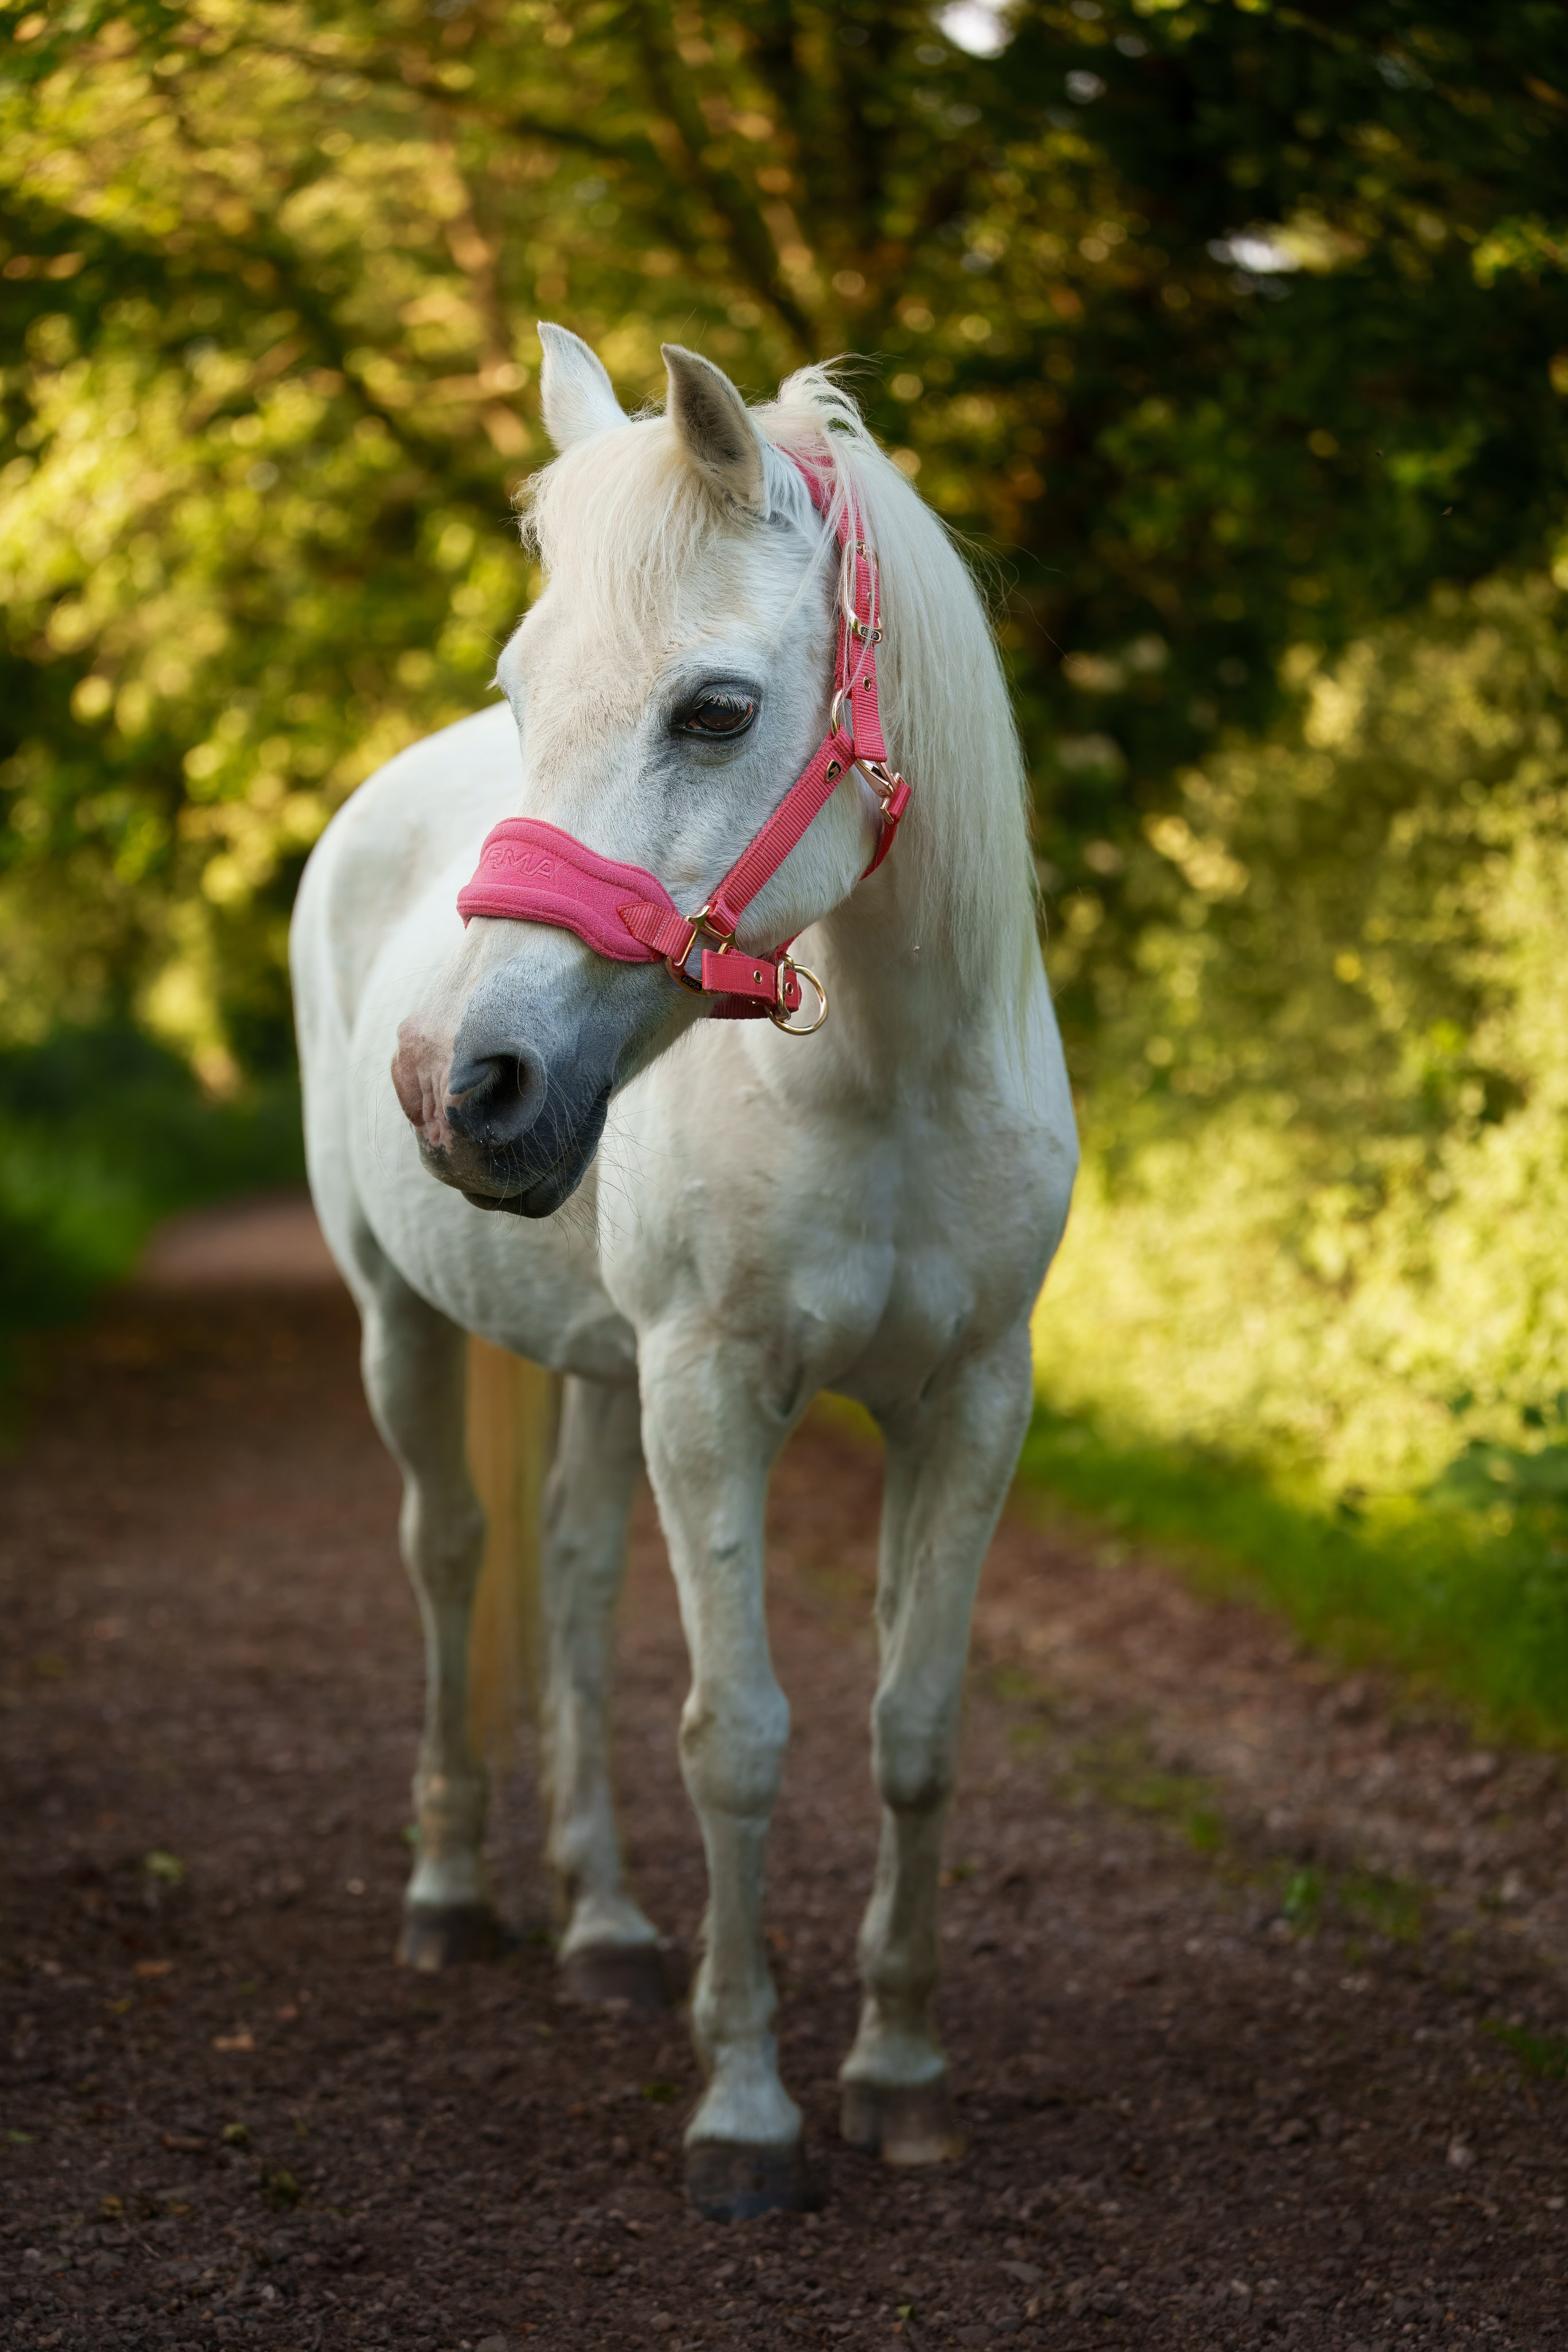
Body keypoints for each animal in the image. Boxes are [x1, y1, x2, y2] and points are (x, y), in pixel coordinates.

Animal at [290, 325, 1078, 2220]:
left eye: (713, 709)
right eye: (523, 692)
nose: (459, 1086)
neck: (885, 1083)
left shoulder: (971, 1401)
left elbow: (914, 1730)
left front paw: (899, 2071)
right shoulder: (710, 1391)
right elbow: (739, 1737)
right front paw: (745, 2111)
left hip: (592, 1366)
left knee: (572, 1585)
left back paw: (607, 1929)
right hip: (401, 1325)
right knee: (452, 1557)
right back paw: (452, 1896)